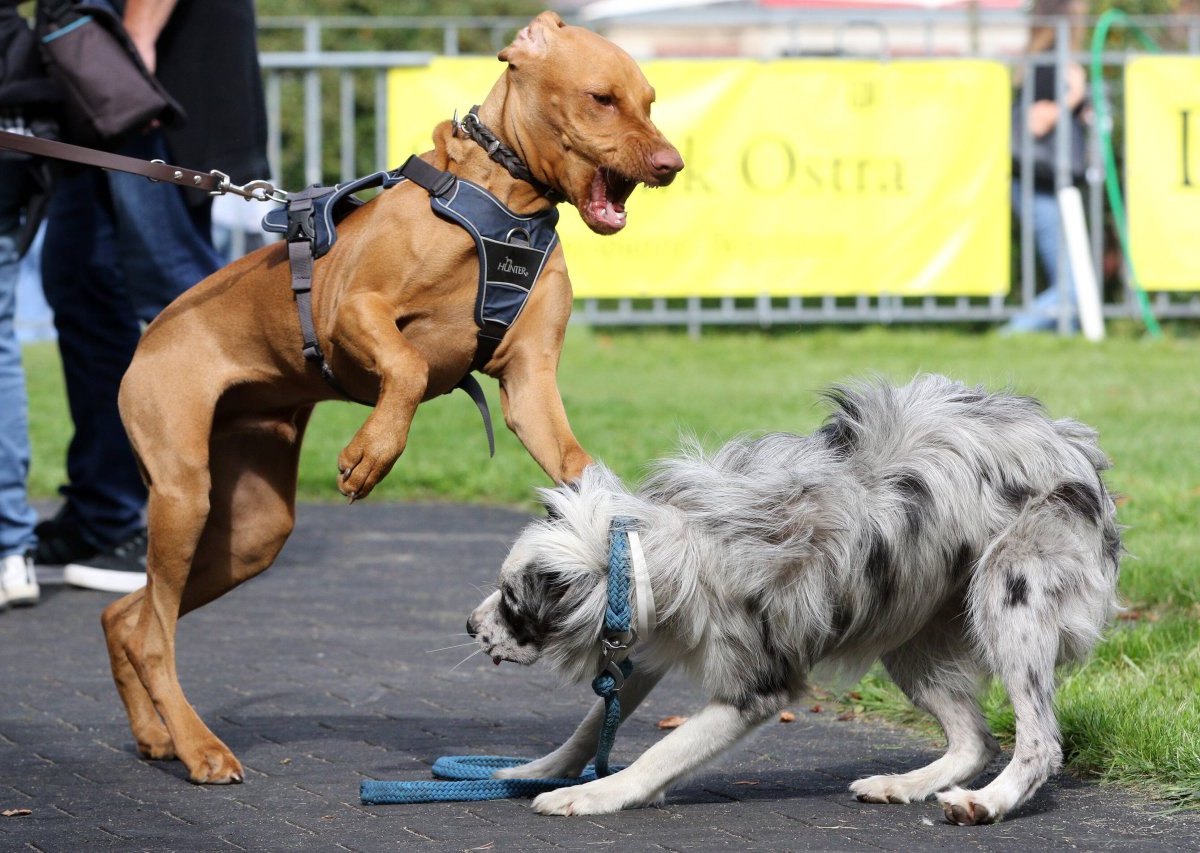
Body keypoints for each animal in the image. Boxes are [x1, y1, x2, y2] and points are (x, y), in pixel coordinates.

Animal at [98, 13, 681, 787]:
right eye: (601, 98)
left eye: (648, 101)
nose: (672, 163)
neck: (504, 205)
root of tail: (150, 335)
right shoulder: (352, 310)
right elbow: (405, 365)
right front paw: (370, 454)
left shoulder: (530, 386)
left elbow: (580, 468)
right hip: (183, 492)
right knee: (154, 632)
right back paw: (199, 748)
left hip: (252, 531)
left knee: (128, 617)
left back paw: (154, 734)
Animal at [463, 371, 1118, 820]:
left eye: (512, 601)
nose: (470, 627)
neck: (655, 550)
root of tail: (1075, 446)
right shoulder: (646, 645)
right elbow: (591, 724)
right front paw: (539, 772)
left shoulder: (758, 687)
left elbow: (663, 751)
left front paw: (599, 793)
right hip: (909, 632)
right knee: (975, 740)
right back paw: (903, 785)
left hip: (1009, 600)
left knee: (1040, 743)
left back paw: (987, 802)